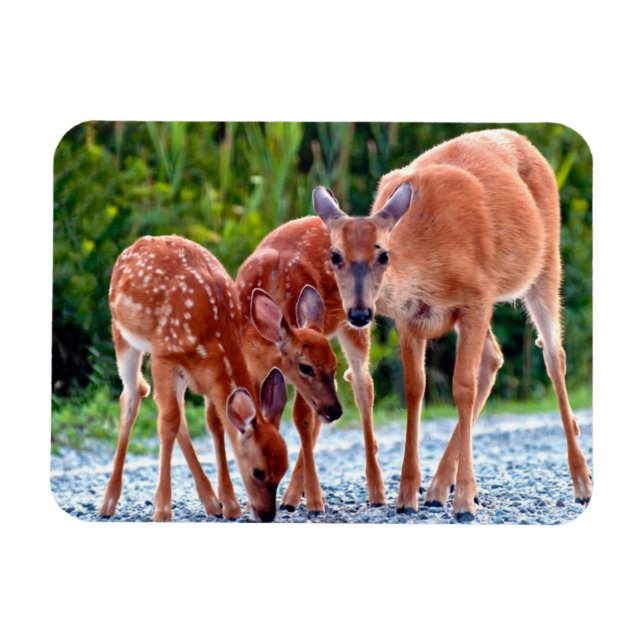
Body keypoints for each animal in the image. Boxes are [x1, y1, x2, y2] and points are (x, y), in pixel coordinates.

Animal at [98, 235, 289, 522]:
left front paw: (230, 504)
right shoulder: (164, 355)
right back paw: (108, 502)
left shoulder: (206, 375)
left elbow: (215, 423)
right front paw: (162, 510)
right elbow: (167, 424)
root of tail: (135, 245)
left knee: (173, 410)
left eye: (284, 469)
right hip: (122, 334)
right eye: (258, 471)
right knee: (134, 396)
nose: (266, 515)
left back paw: (211, 501)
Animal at [236, 217, 388, 513]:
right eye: (306, 367)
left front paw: (316, 501)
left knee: (363, 385)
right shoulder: (253, 367)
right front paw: (251, 503)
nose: (336, 411)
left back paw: (376, 492)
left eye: (333, 364)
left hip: (356, 321)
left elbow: (302, 419)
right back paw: (292, 496)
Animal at [312, 128, 592, 521]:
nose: (359, 313)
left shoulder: (476, 297)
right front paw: (407, 496)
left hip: (547, 263)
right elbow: (415, 389)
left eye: (383, 254)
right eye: (334, 255)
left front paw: (465, 502)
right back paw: (436, 490)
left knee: (554, 356)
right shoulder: (409, 319)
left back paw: (582, 484)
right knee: (494, 357)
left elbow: (462, 387)